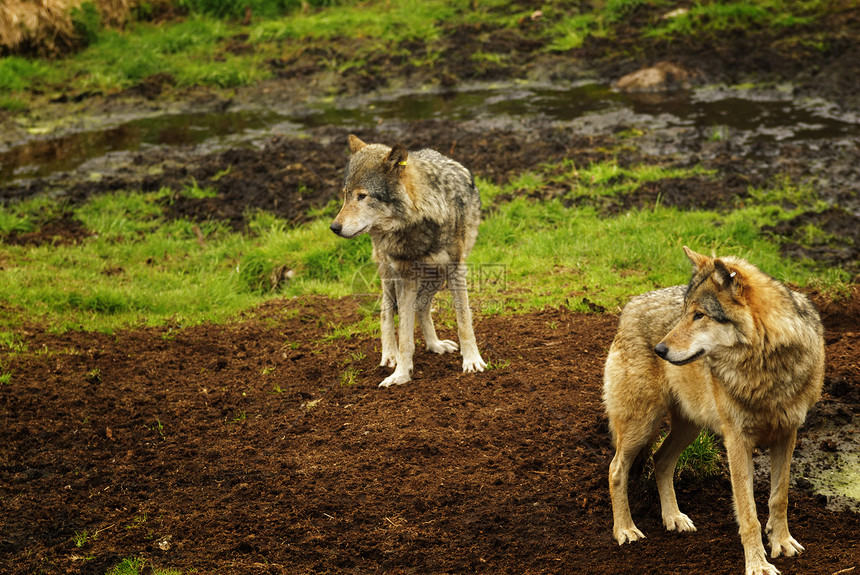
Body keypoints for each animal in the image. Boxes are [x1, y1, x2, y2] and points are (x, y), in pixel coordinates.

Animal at [332, 134, 488, 388]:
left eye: (362, 196)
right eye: (345, 194)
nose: (334, 227)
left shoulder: (455, 270)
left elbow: (464, 321)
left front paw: (472, 361)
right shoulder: (405, 278)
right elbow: (404, 336)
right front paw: (401, 374)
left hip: (436, 276)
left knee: (422, 307)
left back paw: (435, 345)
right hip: (390, 274)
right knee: (386, 311)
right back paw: (390, 355)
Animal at [600, 246, 824, 575]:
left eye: (699, 315)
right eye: (684, 313)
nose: (659, 350)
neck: (764, 369)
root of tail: (629, 305)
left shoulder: (788, 434)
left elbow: (778, 498)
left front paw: (782, 543)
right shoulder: (737, 441)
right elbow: (748, 512)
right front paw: (757, 564)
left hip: (689, 428)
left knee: (660, 460)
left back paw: (673, 518)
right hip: (642, 425)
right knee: (616, 469)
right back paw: (625, 530)